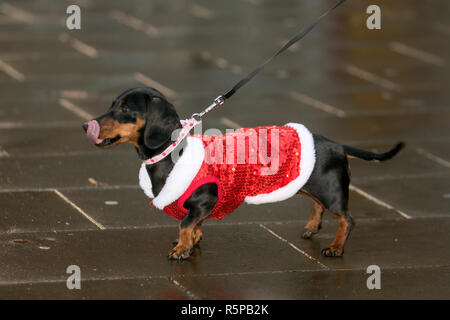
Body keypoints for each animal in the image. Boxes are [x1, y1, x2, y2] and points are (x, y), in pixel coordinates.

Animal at [82, 87, 402, 260]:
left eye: (126, 109)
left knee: (347, 219)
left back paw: (335, 248)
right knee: (317, 205)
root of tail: (336, 144)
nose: (86, 125)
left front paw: (182, 249)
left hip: (331, 189)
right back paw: (312, 228)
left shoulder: (204, 199)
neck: (172, 153)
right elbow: (194, 225)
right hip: (311, 183)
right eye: (113, 104)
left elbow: (185, 223)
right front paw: (192, 242)